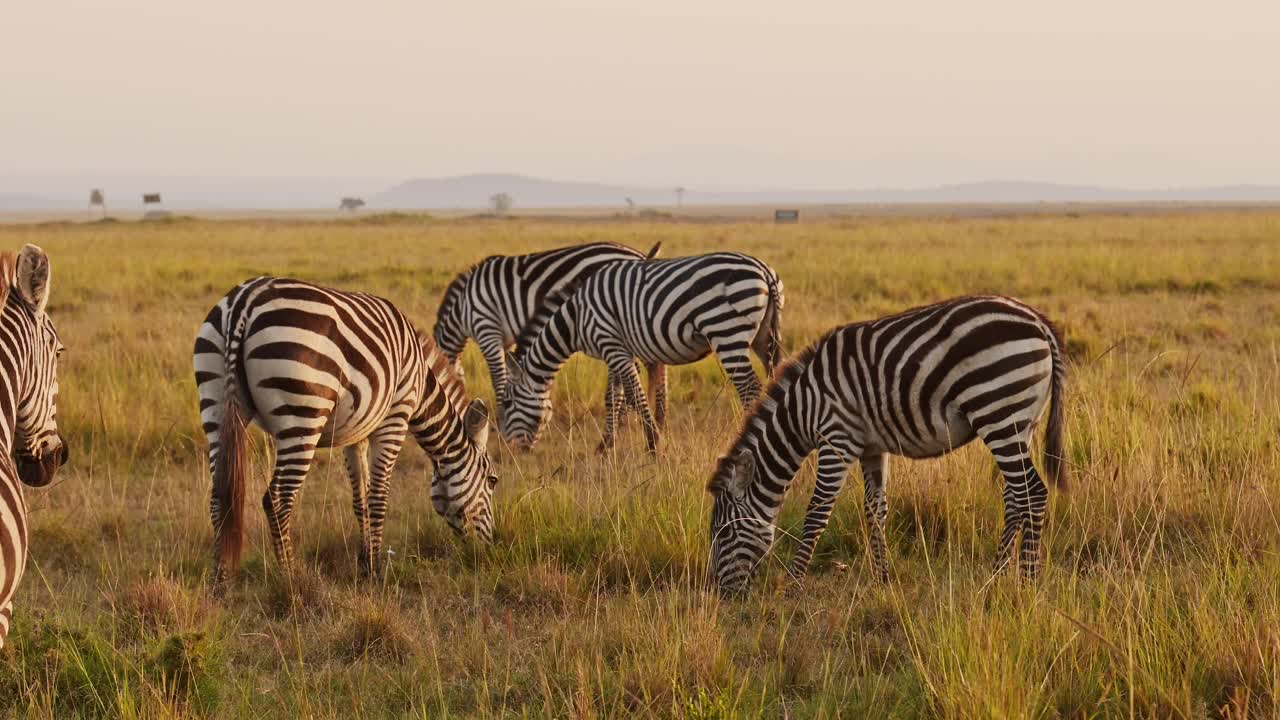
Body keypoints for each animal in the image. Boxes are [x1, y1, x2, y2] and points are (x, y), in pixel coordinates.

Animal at [194, 277, 497, 584]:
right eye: (493, 481)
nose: (489, 547)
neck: (421, 381)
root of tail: (244, 301)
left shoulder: (357, 433)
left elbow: (360, 499)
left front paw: (365, 562)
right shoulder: (395, 418)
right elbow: (378, 496)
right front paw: (377, 570)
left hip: (215, 401)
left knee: (219, 497)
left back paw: (221, 578)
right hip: (302, 415)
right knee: (277, 500)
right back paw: (291, 576)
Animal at [433, 241, 664, 416]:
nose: (461, 411)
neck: (463, 306)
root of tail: (639, 255)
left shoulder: (486, 328)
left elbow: (498, 378)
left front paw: (500, 415)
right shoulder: (505, 340)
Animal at [500, 252, 784, 452]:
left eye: (507, 403)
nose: (509, 449)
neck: (575, 318)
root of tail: (765, 271)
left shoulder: (611, 344)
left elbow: (634, 396)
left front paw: (653, 445)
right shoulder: (615, 350)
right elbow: (615, 396)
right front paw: (608, 445)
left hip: (726, 332)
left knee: (749, 388)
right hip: (763, 338)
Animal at [707, 295, 1067, 592]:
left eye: (723, 533)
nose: (719, 594)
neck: (802, 408)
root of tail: (1039, 322)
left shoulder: (836, 440)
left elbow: (817, 512)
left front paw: (794, 584)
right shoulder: (871, 448)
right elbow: (875, 510)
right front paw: (883, 578)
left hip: (998, 410)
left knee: (1032, 492)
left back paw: (1028, 581)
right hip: (1021, 423)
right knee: (1014, 496)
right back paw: (996, 575)